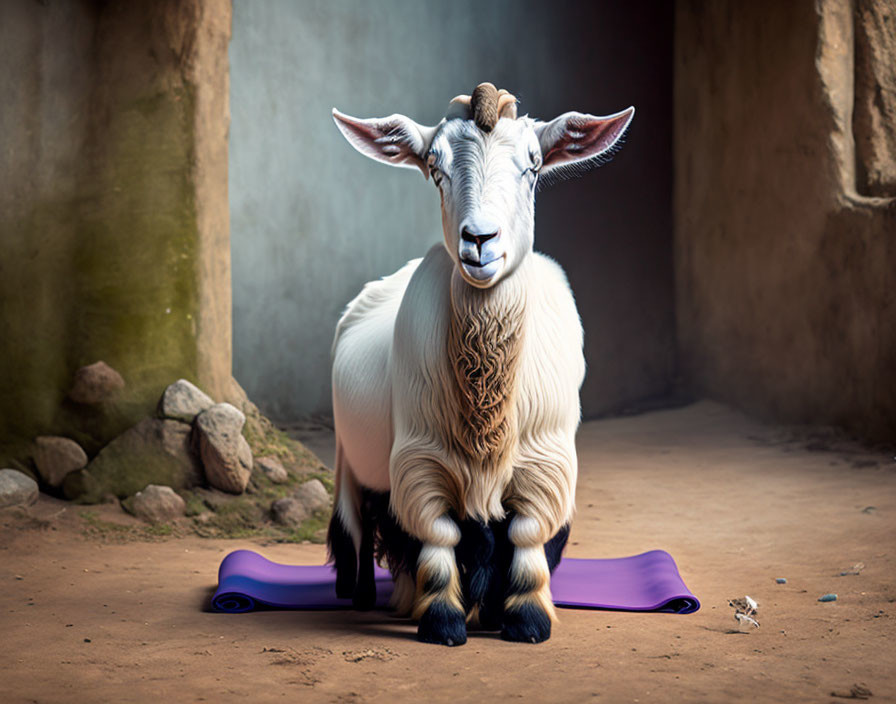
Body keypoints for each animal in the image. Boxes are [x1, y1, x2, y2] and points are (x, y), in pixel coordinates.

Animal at [328, 82, 632, 644]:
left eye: (533, 166)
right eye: (435, 167)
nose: (480, 240)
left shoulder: (548, 460)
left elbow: (526, 534)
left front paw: (524, 619)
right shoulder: (418, 460)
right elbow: (436, 533)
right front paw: (442, 621)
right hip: (352, 461)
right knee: (361, 525)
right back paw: (367, 597)